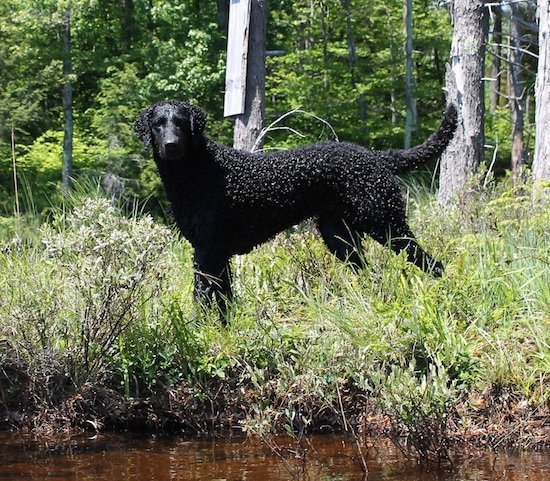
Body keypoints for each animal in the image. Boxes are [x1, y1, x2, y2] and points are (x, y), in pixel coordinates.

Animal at [136, 101, 460, 316]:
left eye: (181, 122)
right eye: (158, 124)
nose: (171, 145)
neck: (201, 170)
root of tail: (376, 157)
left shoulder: (207, 249)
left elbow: (202, 296)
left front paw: (200, 330)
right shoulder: (217, 252)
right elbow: (223, 298)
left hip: (386, 222)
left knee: (432, 263)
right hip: (340, 237)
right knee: (371, 271)